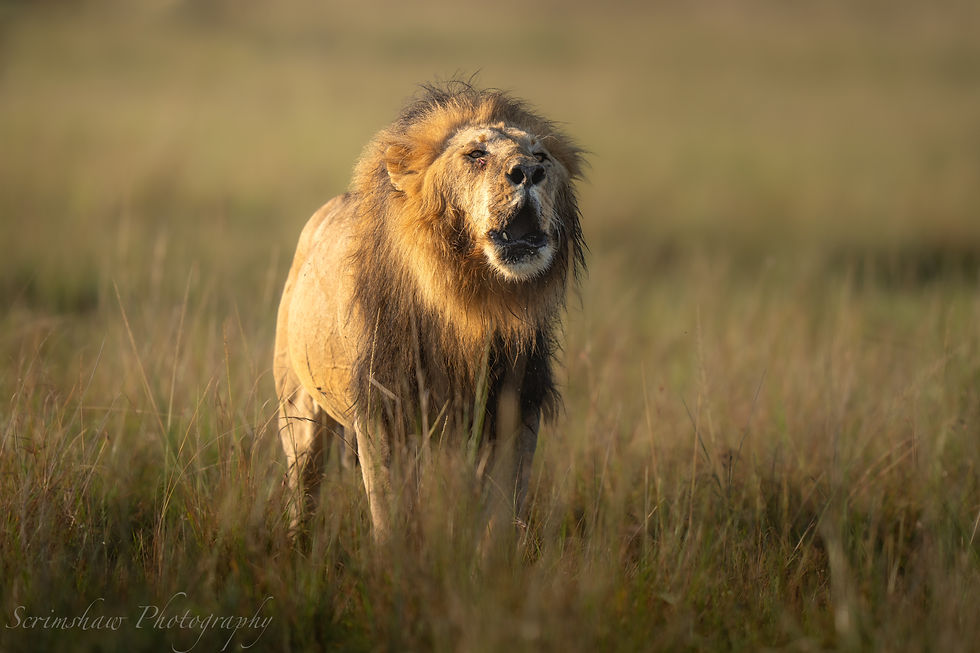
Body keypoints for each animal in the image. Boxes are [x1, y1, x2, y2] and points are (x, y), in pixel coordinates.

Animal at [273, 82, 585, 540]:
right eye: (476, 154)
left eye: (542, 156)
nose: (529, 172)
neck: (472, 303)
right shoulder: (384, 408)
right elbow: (392, 513)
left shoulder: (516, 407)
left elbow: (498, 511)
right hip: (299, 407)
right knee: (304, 487)